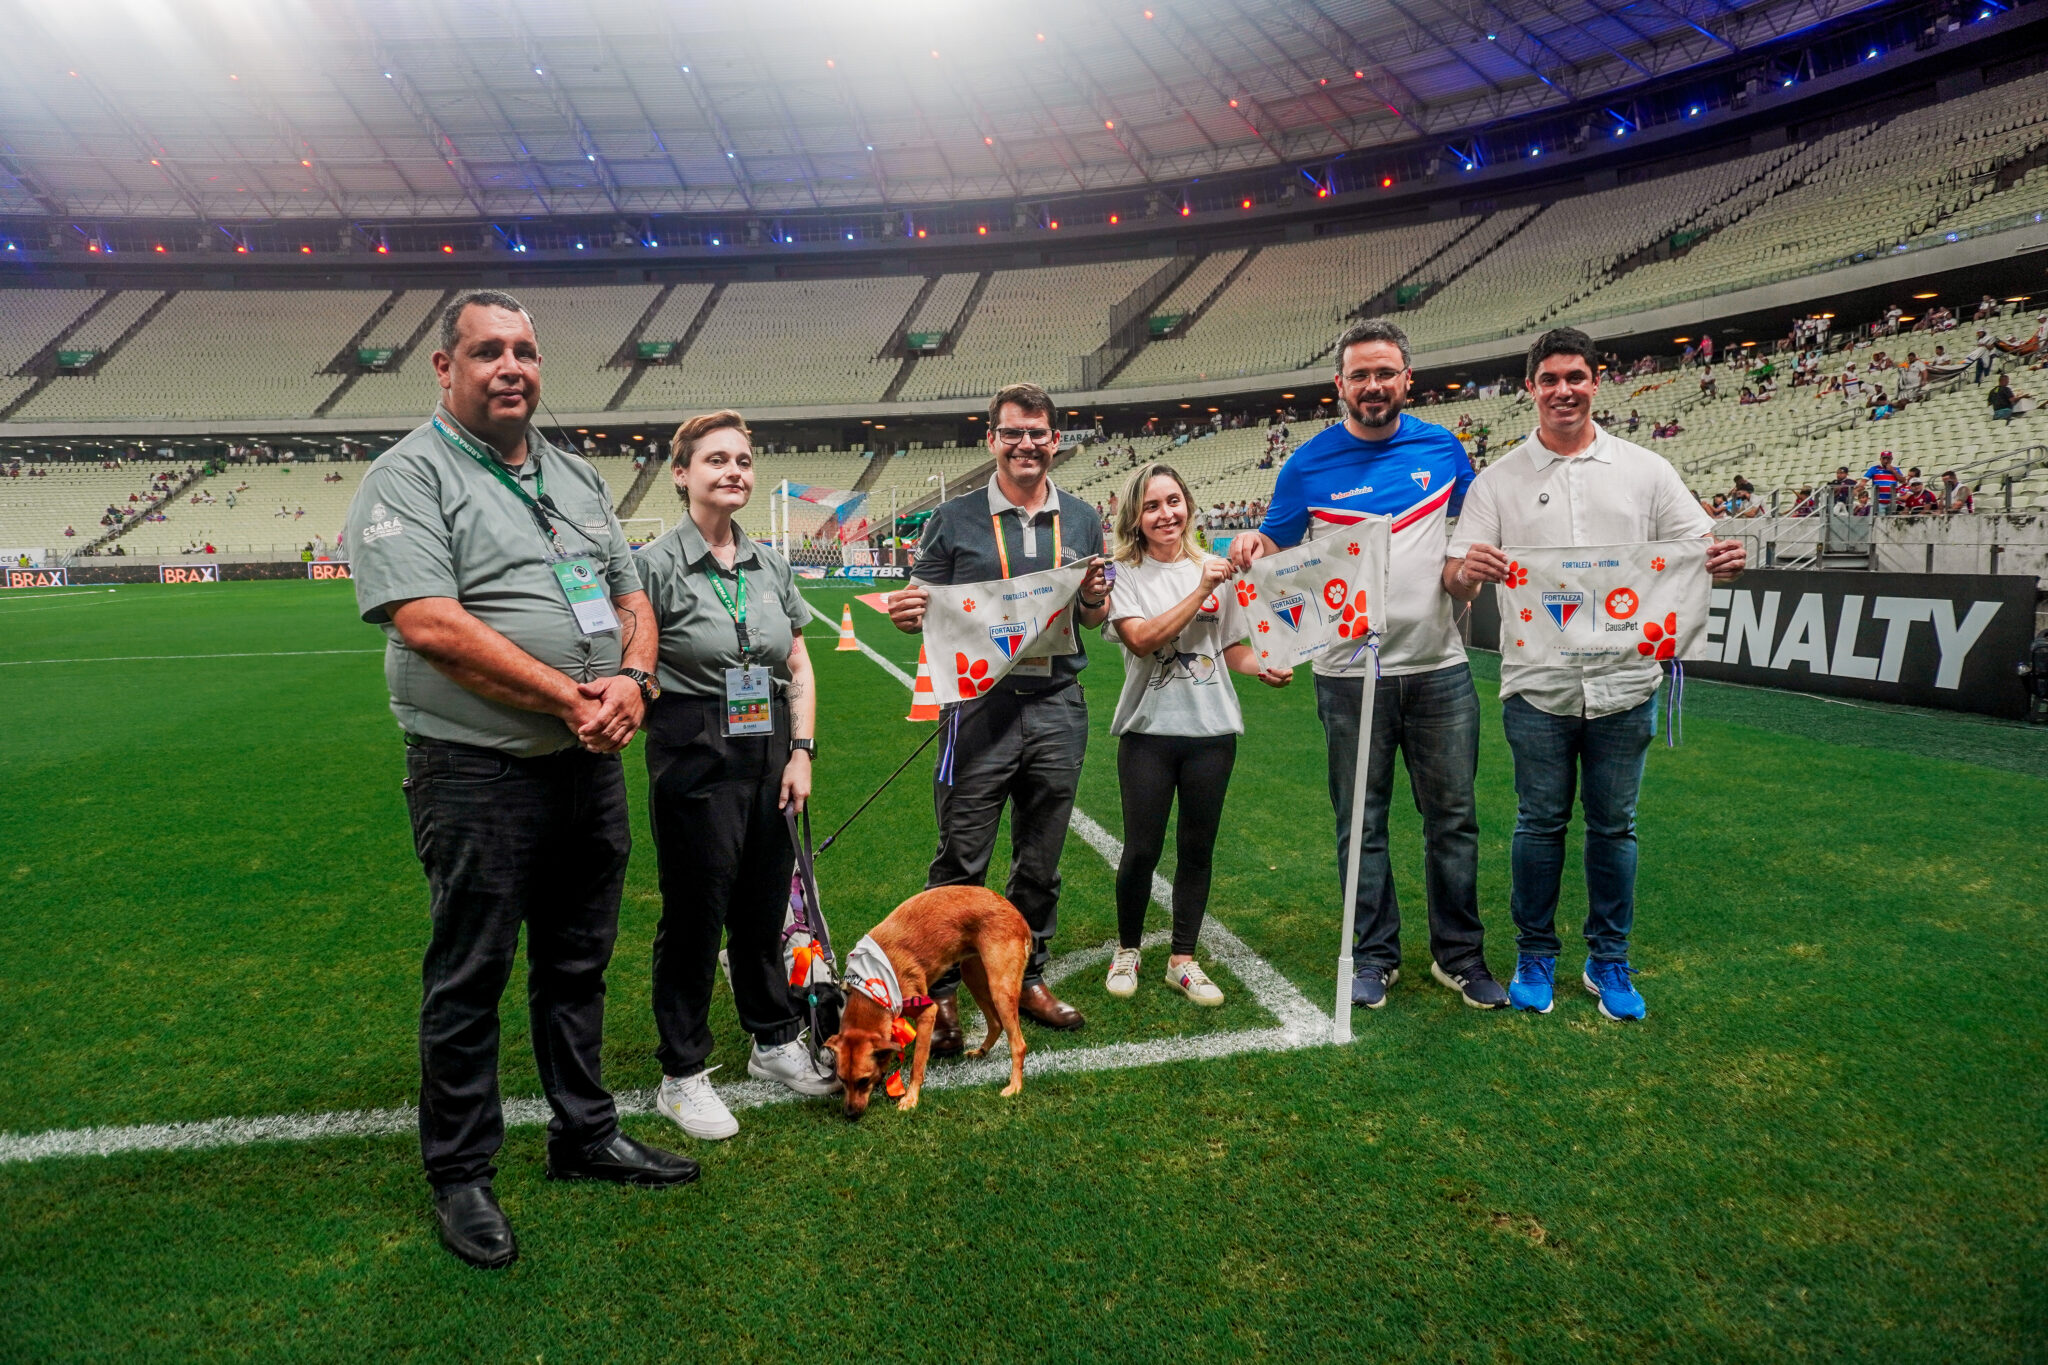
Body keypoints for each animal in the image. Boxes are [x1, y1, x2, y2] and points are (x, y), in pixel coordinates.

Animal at [819, 888, 1032, 1121]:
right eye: (841, 1079)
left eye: (863, 1080)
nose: (849, 1114)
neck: (871, 991)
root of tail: (1016, 914)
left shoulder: (927, 1012)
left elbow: (917, 1065)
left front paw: (910, 1098)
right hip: (974, 976)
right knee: (995, 1023)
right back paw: (981, 1051)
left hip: (1000, 988)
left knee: (1019, 1044)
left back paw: (1015, 1086)